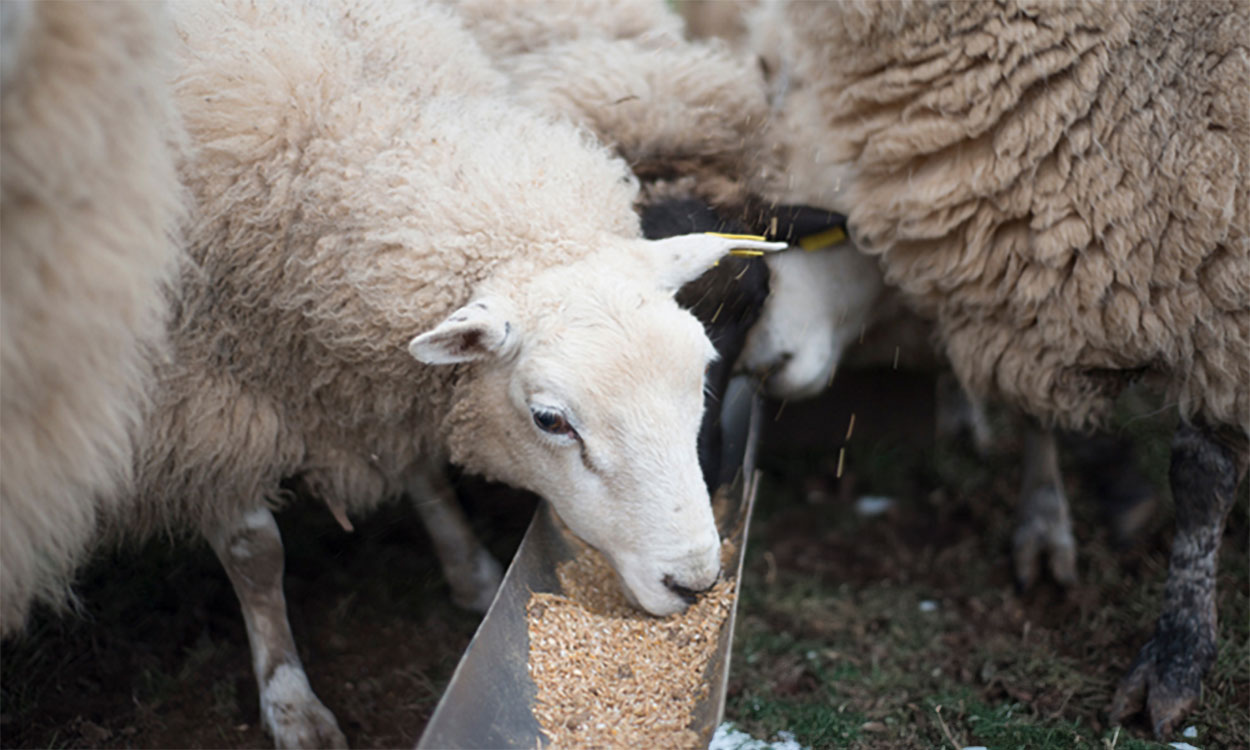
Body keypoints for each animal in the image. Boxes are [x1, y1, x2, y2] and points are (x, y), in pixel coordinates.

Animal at [121, 2, 780, 745]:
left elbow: (424, 472)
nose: (695, 583)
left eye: (701, 374)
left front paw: (473, 572)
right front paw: (292, 704)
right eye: (550, 420)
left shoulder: (387, 387)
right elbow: (254, 552)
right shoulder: (202, 407)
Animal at [745, 0, 1245, 740]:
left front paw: (1177, 659)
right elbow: (1041, 407)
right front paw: (1047, 525)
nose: (753, 349)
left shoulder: (1222, 311)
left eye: (828, 222)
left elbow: (1199, 477)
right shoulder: (1020, 243)